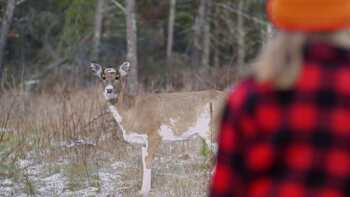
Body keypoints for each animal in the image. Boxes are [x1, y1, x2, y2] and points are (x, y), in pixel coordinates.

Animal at [89, 62, 227, 195]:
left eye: (117, 77)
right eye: (103, 77)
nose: (109, 90)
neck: (131, 111)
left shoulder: (154, 134)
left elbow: (148, 161)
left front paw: (145, 191)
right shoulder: (143, 141)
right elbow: (144, 162)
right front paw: (142, 190)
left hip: (213, 130)